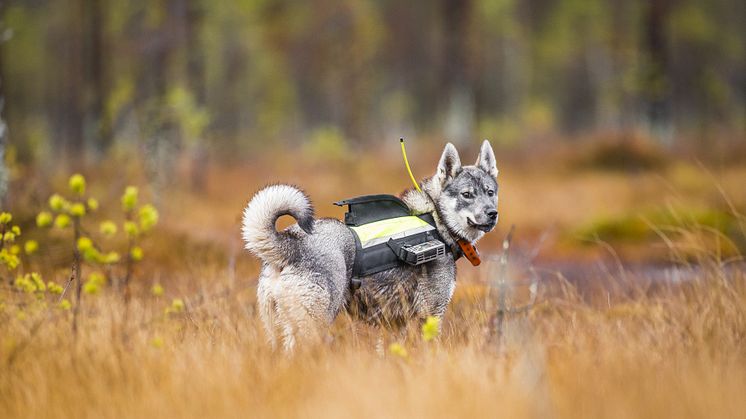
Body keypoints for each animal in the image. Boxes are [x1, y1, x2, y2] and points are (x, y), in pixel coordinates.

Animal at [241, 141, 496, 352]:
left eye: (490, 192)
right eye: (466, 195)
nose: (492, 213)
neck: (434, 218)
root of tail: (291, 244)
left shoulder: (394, 324)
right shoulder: (431, 314)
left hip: (277, 331)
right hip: (312, 326)